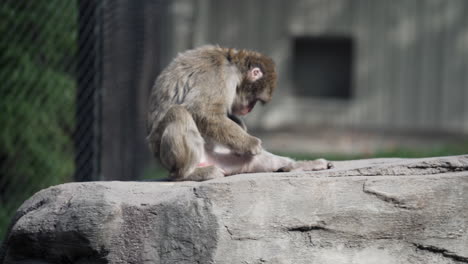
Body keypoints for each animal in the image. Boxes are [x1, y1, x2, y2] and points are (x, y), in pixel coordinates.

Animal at [147, 45, 332, 182]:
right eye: (255, 100)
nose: (250, 109)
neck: (233, 65)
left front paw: (242, 128)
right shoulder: (219, 74)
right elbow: (201, 110)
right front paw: (251, 143)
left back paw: (296, 166)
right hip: (168, 159)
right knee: (179, 112)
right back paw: (187, 174)